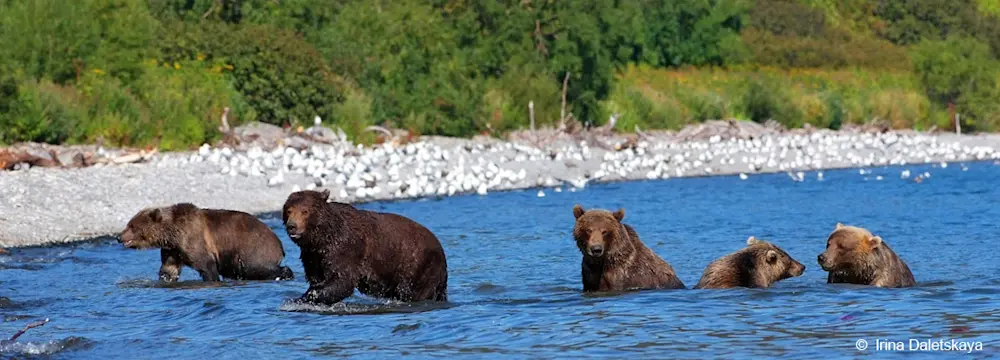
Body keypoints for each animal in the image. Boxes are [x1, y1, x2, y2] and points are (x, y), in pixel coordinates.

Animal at [118, 204, 292, 282]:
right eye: (128, 224)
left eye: (132, 226)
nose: (119, 237)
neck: (173, 232)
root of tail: (279, 242)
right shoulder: (173, 249)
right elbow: (169, 268)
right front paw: (165, 278)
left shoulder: (194, 240)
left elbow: (206, 266)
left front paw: (212, 279)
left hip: (252, 248)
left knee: (255, 267)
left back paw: (285, 273)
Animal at [280, 190, 448, 306]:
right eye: (289, 210)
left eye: (305, 211)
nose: (292, 226)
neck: (321, 238)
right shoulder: (312, 256)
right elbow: (317, 279)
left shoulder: (345, 249)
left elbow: (342, 280)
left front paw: (303, 298)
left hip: (418, 265)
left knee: (413, 292)